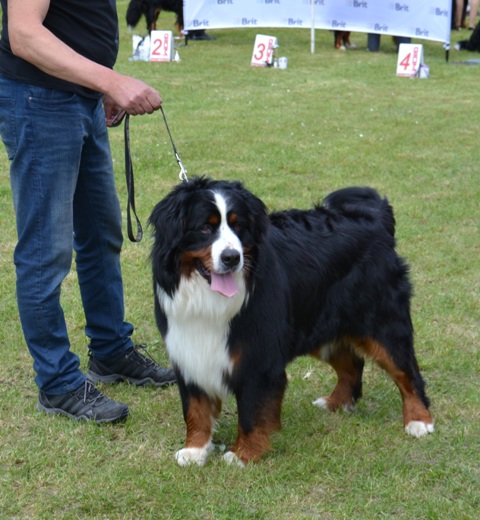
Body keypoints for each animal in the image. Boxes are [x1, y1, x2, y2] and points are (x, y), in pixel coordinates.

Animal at [148, 178, 434, 468]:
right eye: (205, 227)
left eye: (239, 227)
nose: (232, 257)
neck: (209, 300)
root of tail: (375, 217)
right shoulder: (189, 349)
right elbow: (195, 408)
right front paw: (195, 449)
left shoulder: (259, 358)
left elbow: (251, 412)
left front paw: (243, 455)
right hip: (318, 325)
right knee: (352, 365)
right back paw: (336, 403)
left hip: (383, 323)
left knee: (408, 373)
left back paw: (419, 420)